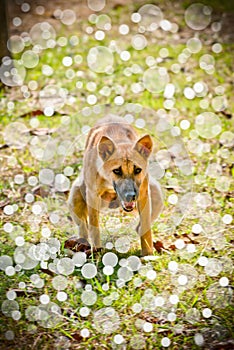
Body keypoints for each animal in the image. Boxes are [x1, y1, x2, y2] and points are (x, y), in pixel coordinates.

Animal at [67, 116, 163, 256]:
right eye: (117, 171)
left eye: (137, 170)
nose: (131, 196)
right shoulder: (92, 195)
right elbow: (94, 227)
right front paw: (97, 252)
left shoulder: (144, 194)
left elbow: (146, 227)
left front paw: (147, 255)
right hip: (76, 197)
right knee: (83, 228)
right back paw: (82, 246)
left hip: (156, 195)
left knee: (141, 226)